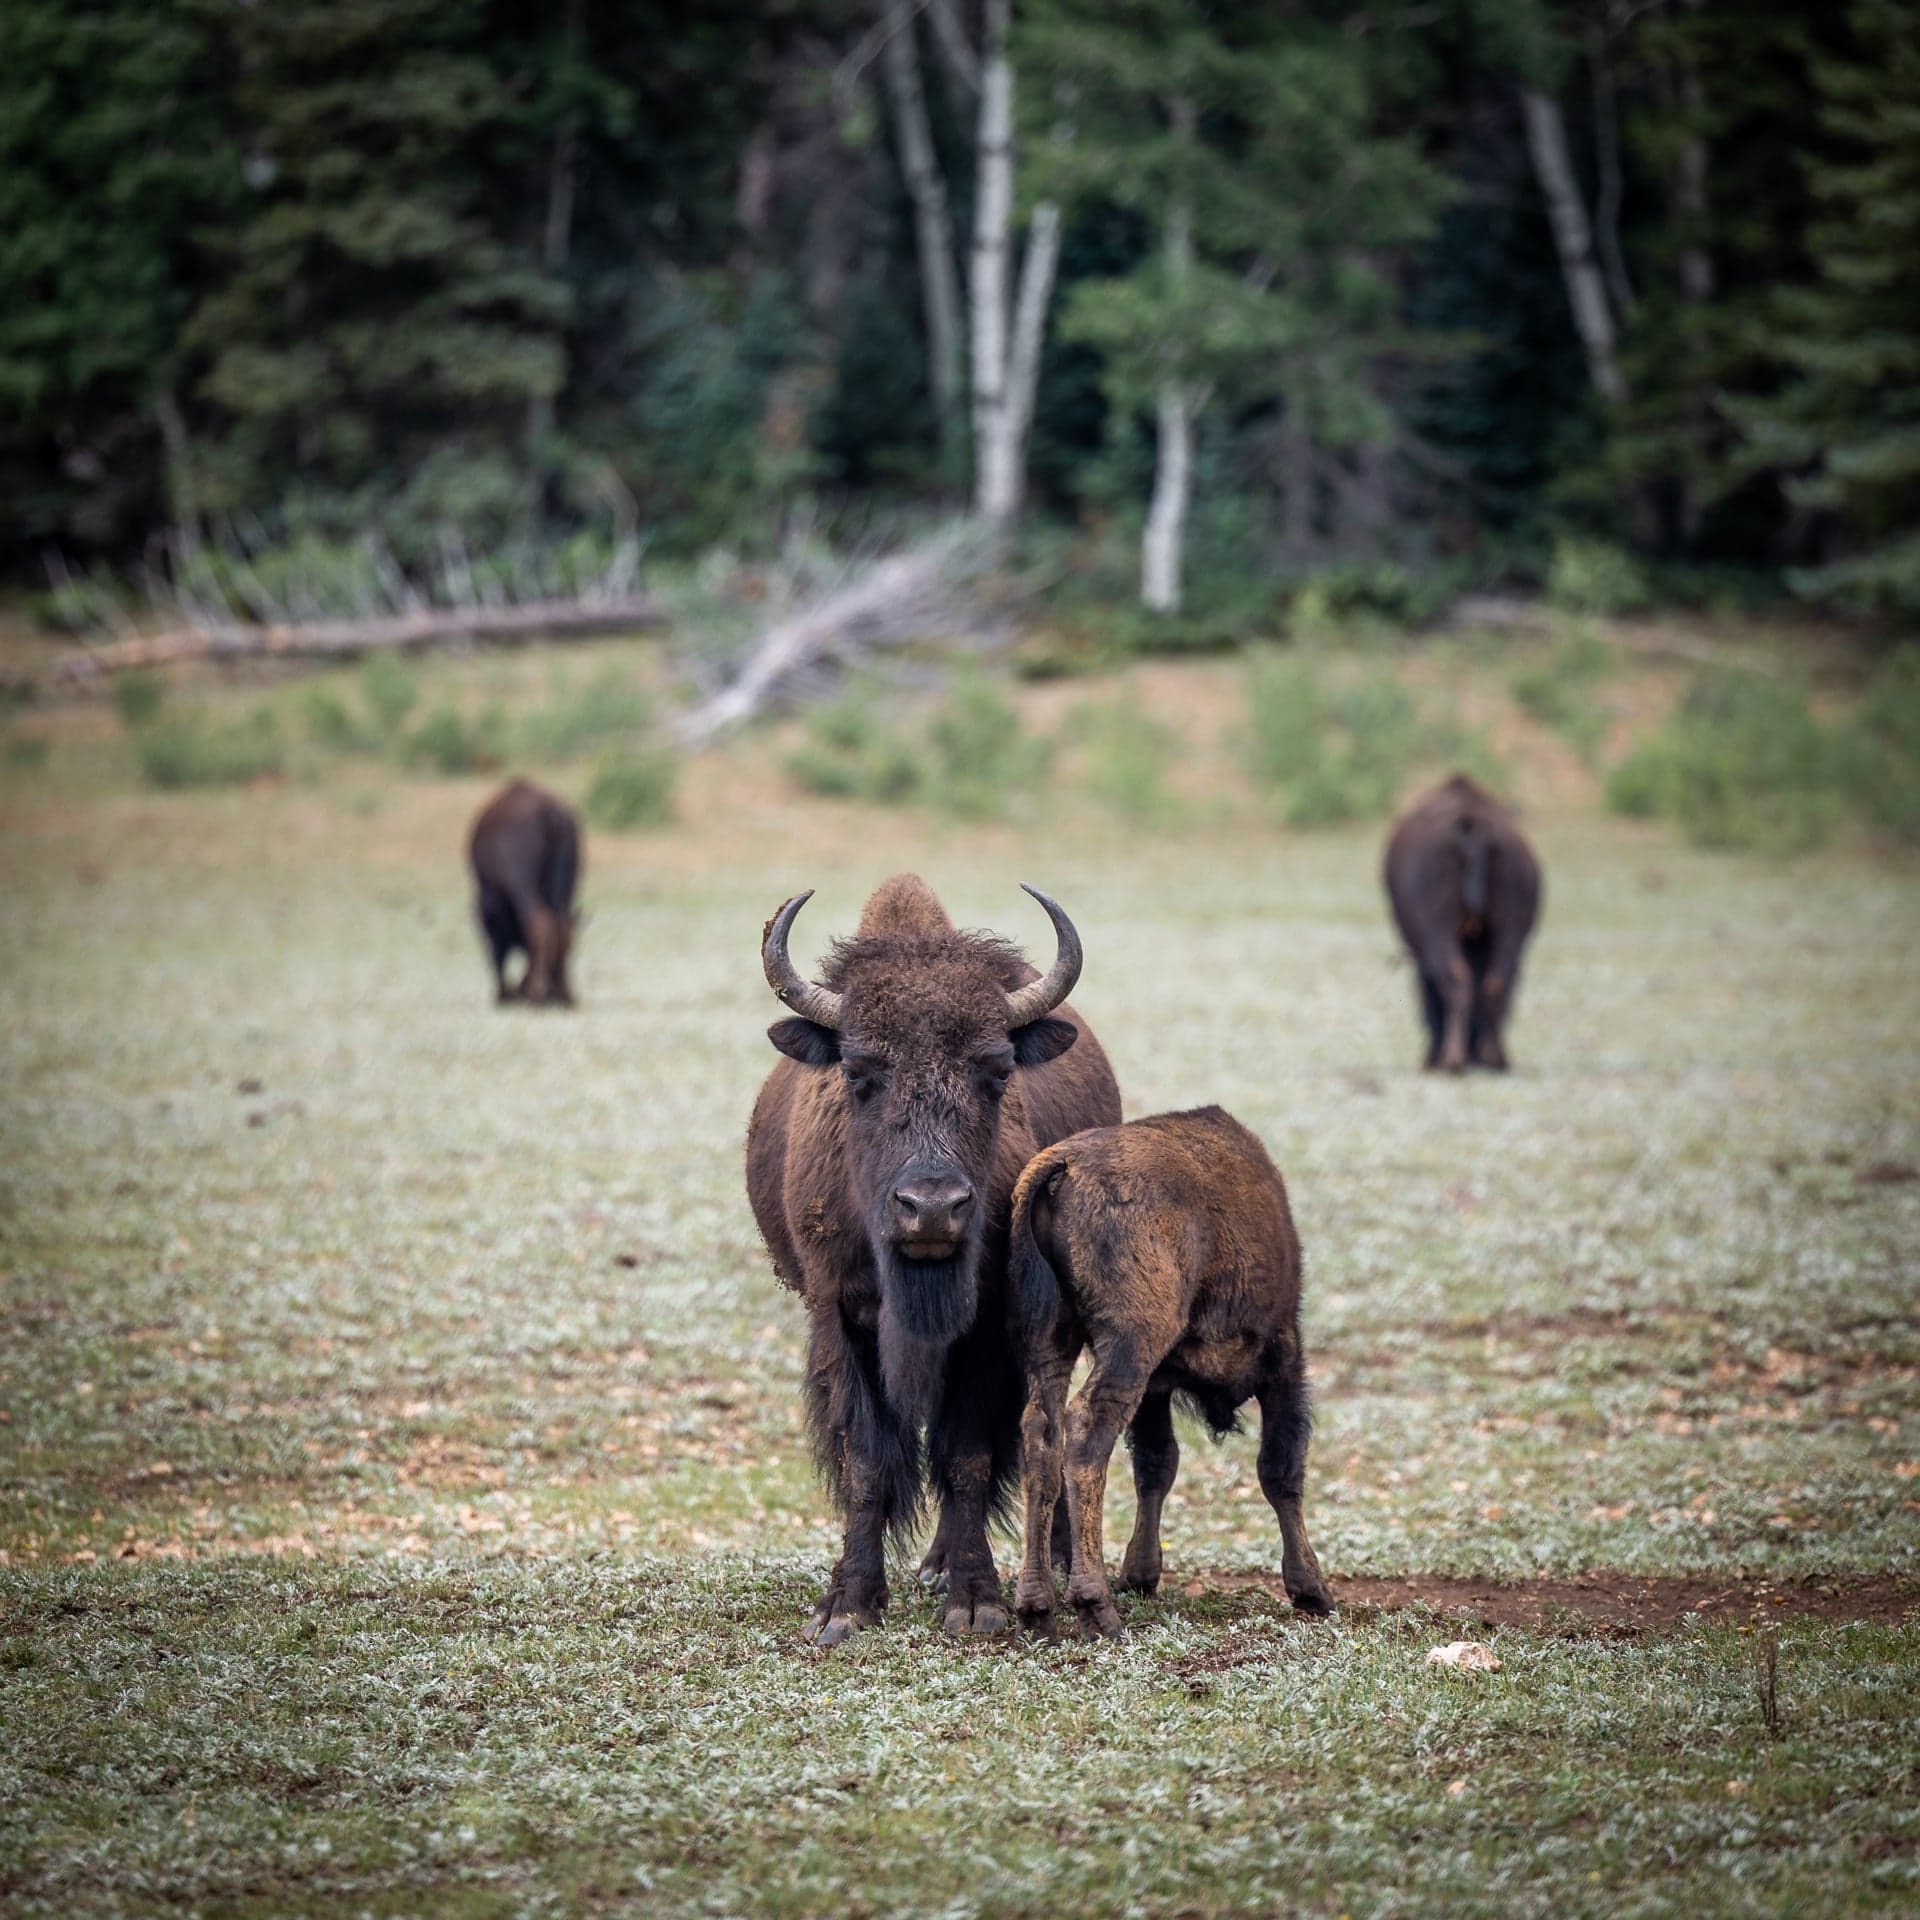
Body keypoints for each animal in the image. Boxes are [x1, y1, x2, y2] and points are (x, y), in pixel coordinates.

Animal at [468, 781, 581, 1008]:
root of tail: (548, 812)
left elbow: (499, 949)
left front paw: (503, 995)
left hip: (524, 886)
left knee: (539, 923)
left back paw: (536, 993)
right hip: (565, 886)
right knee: (561, 925)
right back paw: (565, 995)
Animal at [746, 874, 1122, 1645]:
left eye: (996, 1070)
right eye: (859, 1070)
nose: (932, 1208)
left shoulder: (987, 1330)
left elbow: (967, 1453)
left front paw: (976, 1601)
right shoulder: (841, 1317)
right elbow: (866, 1460)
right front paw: (847, 1606)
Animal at [1007, 1105, 1334, 1639]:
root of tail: (1065, 1165)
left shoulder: (1155, 1389)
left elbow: (1156, 1466)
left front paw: (1140, 1575)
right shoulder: (1283, 1362)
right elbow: (1279, 1470)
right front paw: (1312, 1591)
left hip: (1051, 1340)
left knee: (1041, 1435)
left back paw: (1036, 1607)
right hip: (1129, 1347)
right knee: (1086, 1430)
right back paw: (1096, 1606)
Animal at [1383, 774, 1542, 1073]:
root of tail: (1471, 827)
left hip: (1439, 933)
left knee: (1455, 980)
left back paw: (1452, 1058)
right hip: (1509, 932)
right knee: (1496, 983)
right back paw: (1493, 1057)